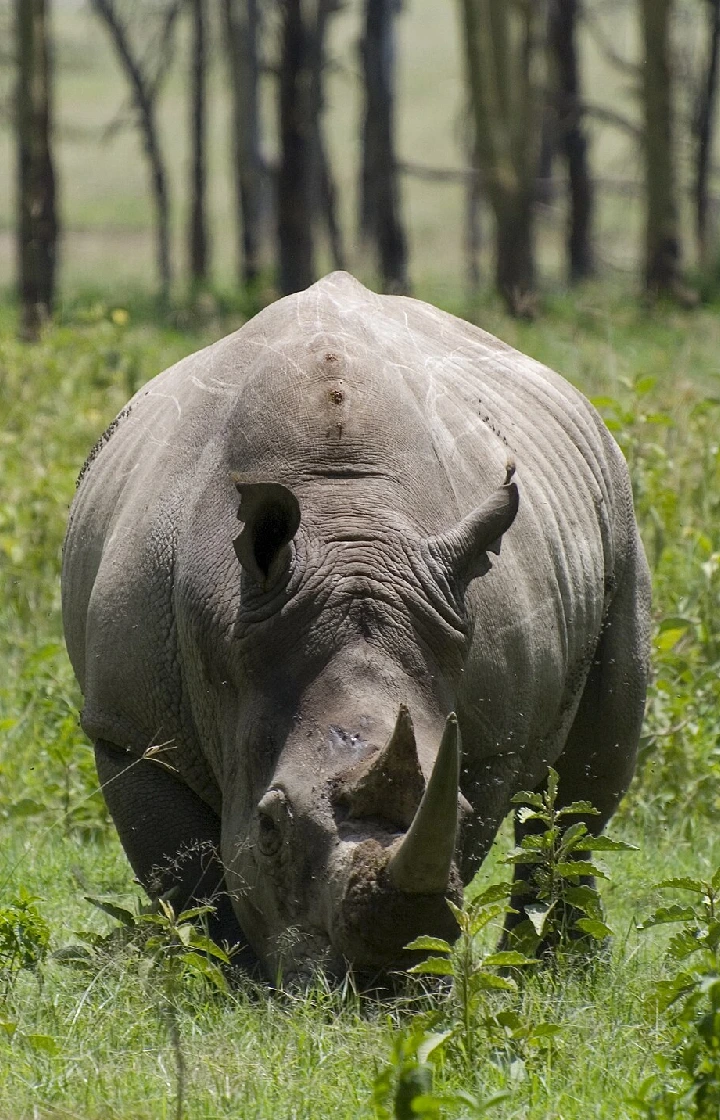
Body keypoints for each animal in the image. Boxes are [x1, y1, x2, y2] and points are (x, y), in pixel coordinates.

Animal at [62, 272, 651, 980]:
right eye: (269, 826)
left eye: (460, 810)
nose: (380, 986)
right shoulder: (132, 726)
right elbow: (189, 879)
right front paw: (231, 980)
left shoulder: (491, 745)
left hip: (618, 505)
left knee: (593, 768)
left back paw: (553, 969)